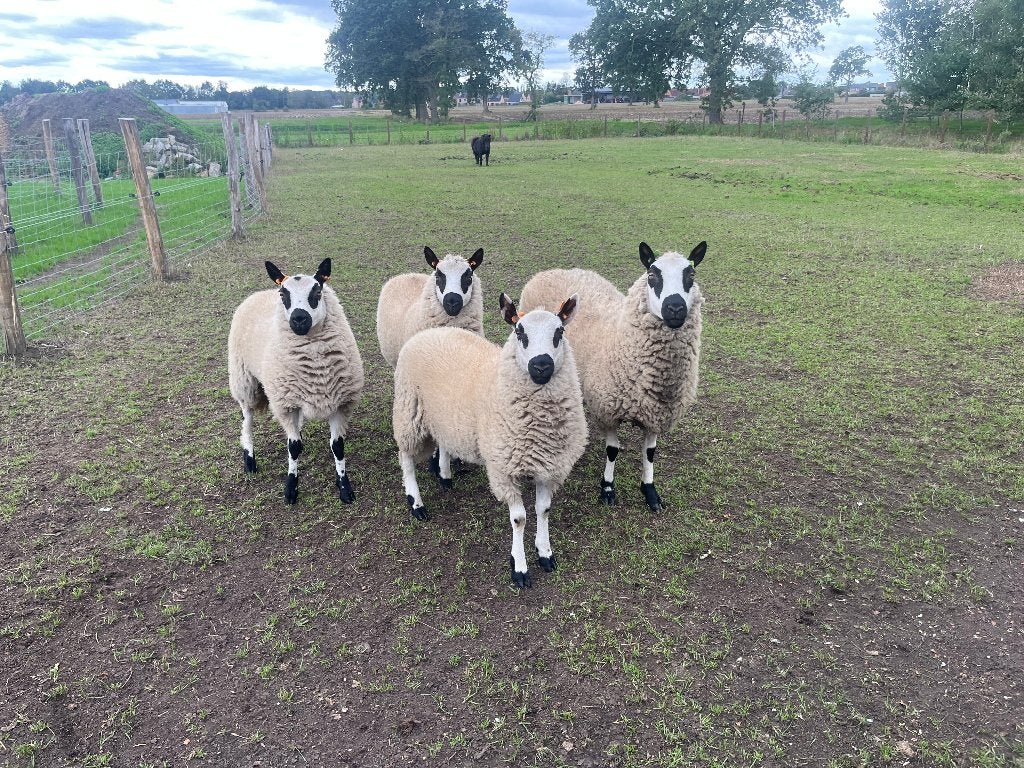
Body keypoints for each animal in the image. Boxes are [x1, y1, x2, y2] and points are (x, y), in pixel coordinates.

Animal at [228, 258, 365, 505]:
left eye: (317, 291)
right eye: (283, 294)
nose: (299, 319)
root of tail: (258, 294)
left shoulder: (340, 404)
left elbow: (338, 447)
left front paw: (344, 487)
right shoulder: (286, 405)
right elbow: (293, 448)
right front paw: (291, 488)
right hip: (244, 381)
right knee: (247, 421)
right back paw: (249, 460)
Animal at [392, 292, 587, 588]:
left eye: (559, 332)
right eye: (519, 332)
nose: (541, 366)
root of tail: (431, 331)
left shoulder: (549, 467)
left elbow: (543, 510)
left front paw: (545, 553)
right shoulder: (503, 469)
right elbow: (519, 519)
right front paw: (519, 567)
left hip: (444, 416)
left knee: (444, 442)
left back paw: (445, 476)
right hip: (409, 412)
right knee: (406, 458)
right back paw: (416, 503)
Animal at [518, 241, 707, 513]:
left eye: (691, 275)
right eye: (652, 275)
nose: (675, 308)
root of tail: (549, 271)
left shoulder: (656, 414)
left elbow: (650, 453)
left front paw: (650, 491)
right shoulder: (607, 409)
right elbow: (612, 451)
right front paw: (607, 488)